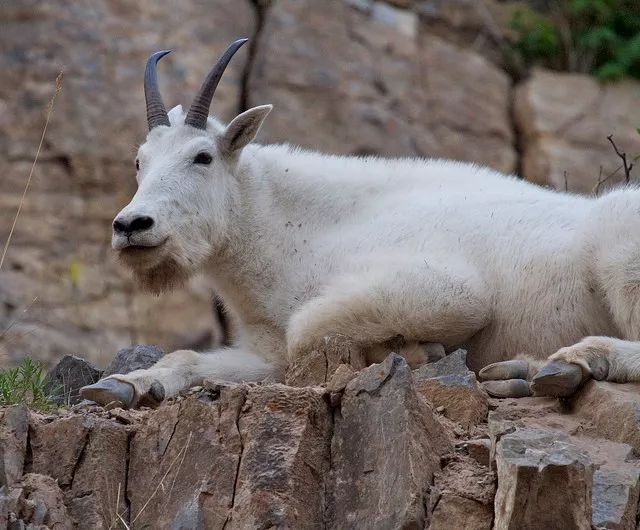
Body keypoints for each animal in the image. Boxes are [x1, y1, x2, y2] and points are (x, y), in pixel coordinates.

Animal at [80, 38, 640, 408]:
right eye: (139, 161)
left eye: (202, 157)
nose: (132, 226)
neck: (294, 232)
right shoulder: (264, 349)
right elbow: (190, 358)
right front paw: (126, 384)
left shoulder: (450, 288)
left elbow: (308, 328)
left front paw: (415, 350)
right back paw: (526, 369)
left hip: (619, 253)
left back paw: (575, 360)